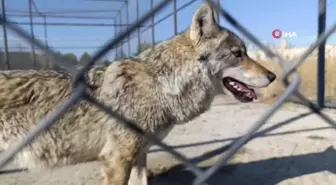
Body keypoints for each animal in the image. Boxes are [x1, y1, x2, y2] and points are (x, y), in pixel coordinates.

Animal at [0, 2, 276, 185]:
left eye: (245, 52)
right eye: (238, 54)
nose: (273, 77)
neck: (161, 85)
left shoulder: (140, 155)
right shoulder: (116, 158)